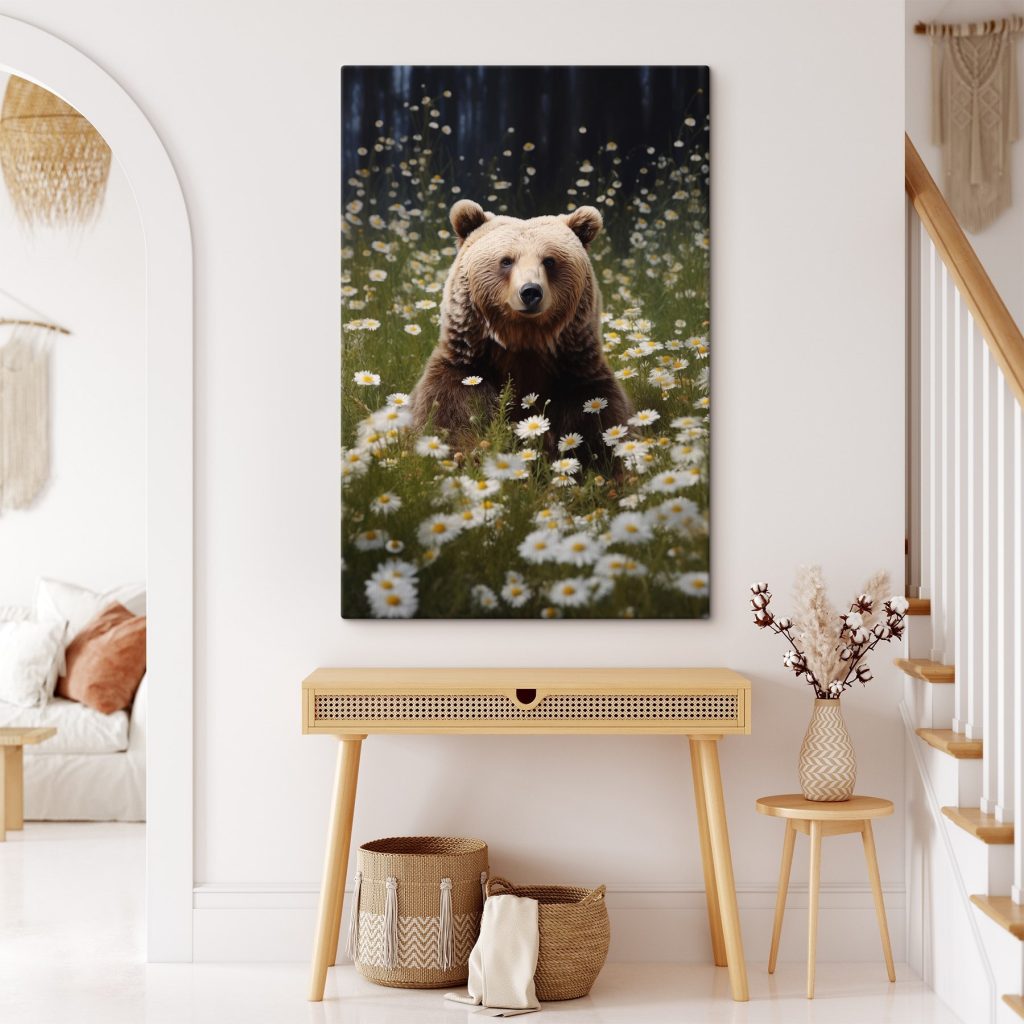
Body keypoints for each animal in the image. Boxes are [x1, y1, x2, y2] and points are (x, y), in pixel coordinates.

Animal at [409, 199, 633, 465]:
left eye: (549, 260)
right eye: (507, 260)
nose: (530, 292)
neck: (523, 342)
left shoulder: (578, 381)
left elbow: (601, 431)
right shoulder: (464, 373)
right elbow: (448, 423)